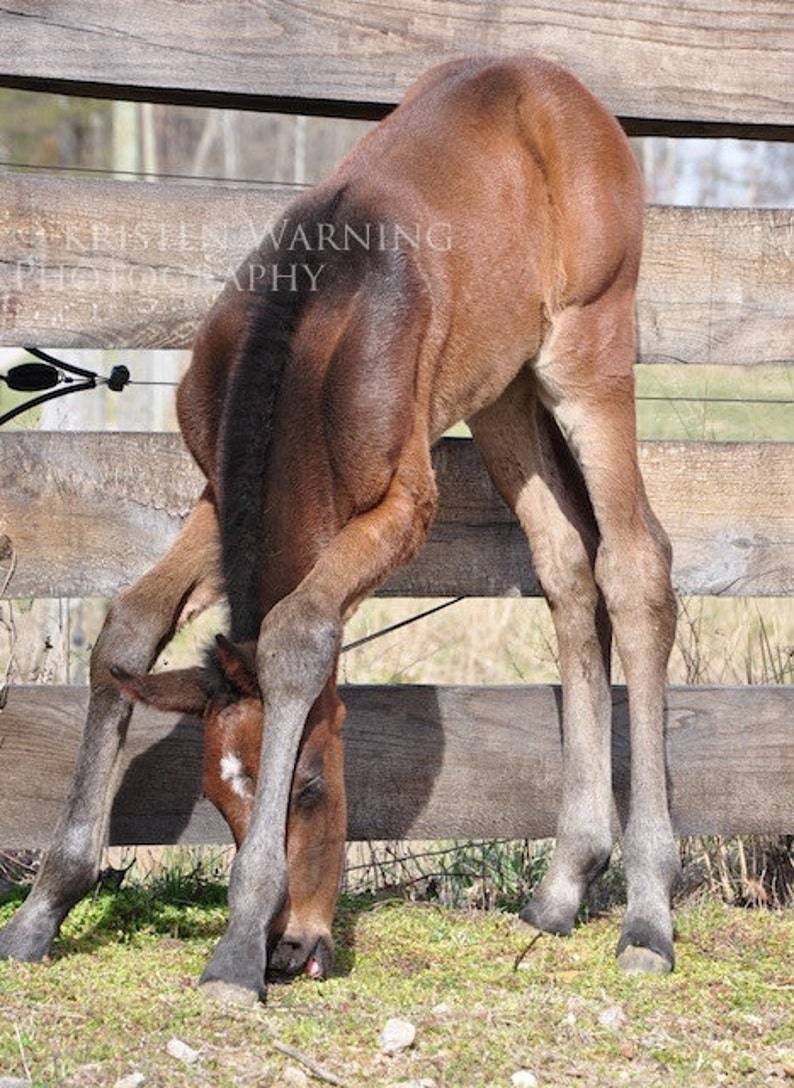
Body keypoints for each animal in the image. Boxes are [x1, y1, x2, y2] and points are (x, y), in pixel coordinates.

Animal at [3, 55, 678, 996]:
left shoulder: (403, 505)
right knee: (567, 570)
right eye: (217, 799)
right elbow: (128, 629)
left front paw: (235, 948)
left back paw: (649, 914)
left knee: (635, 566)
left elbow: (295, 638)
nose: (293, 948)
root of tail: (559, 84)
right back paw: (562, 886)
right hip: (504, 394)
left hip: (590, 353)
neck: (307, 331)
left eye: (311, 785)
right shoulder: (214, 493)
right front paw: (43, 909)